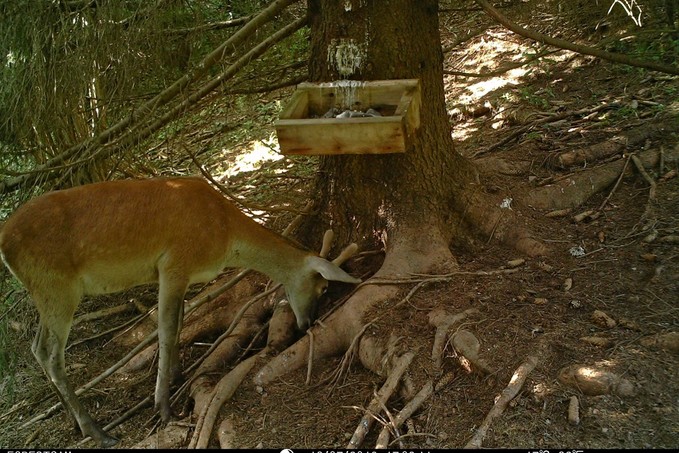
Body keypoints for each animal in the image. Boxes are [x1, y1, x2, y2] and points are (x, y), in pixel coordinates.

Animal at [0, 176, 362, 444]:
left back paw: (73, 421)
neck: (225, 237)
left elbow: (179, 323)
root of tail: (4, 240)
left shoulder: (184, 275)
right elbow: (166, 328)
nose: (307, 323)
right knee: (50, 354)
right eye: (323, 287)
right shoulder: (173, 264)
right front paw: (163, 409)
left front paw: (179, 376)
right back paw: (98, 432)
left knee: (37, 348)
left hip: (46, 292)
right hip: (57, 287)